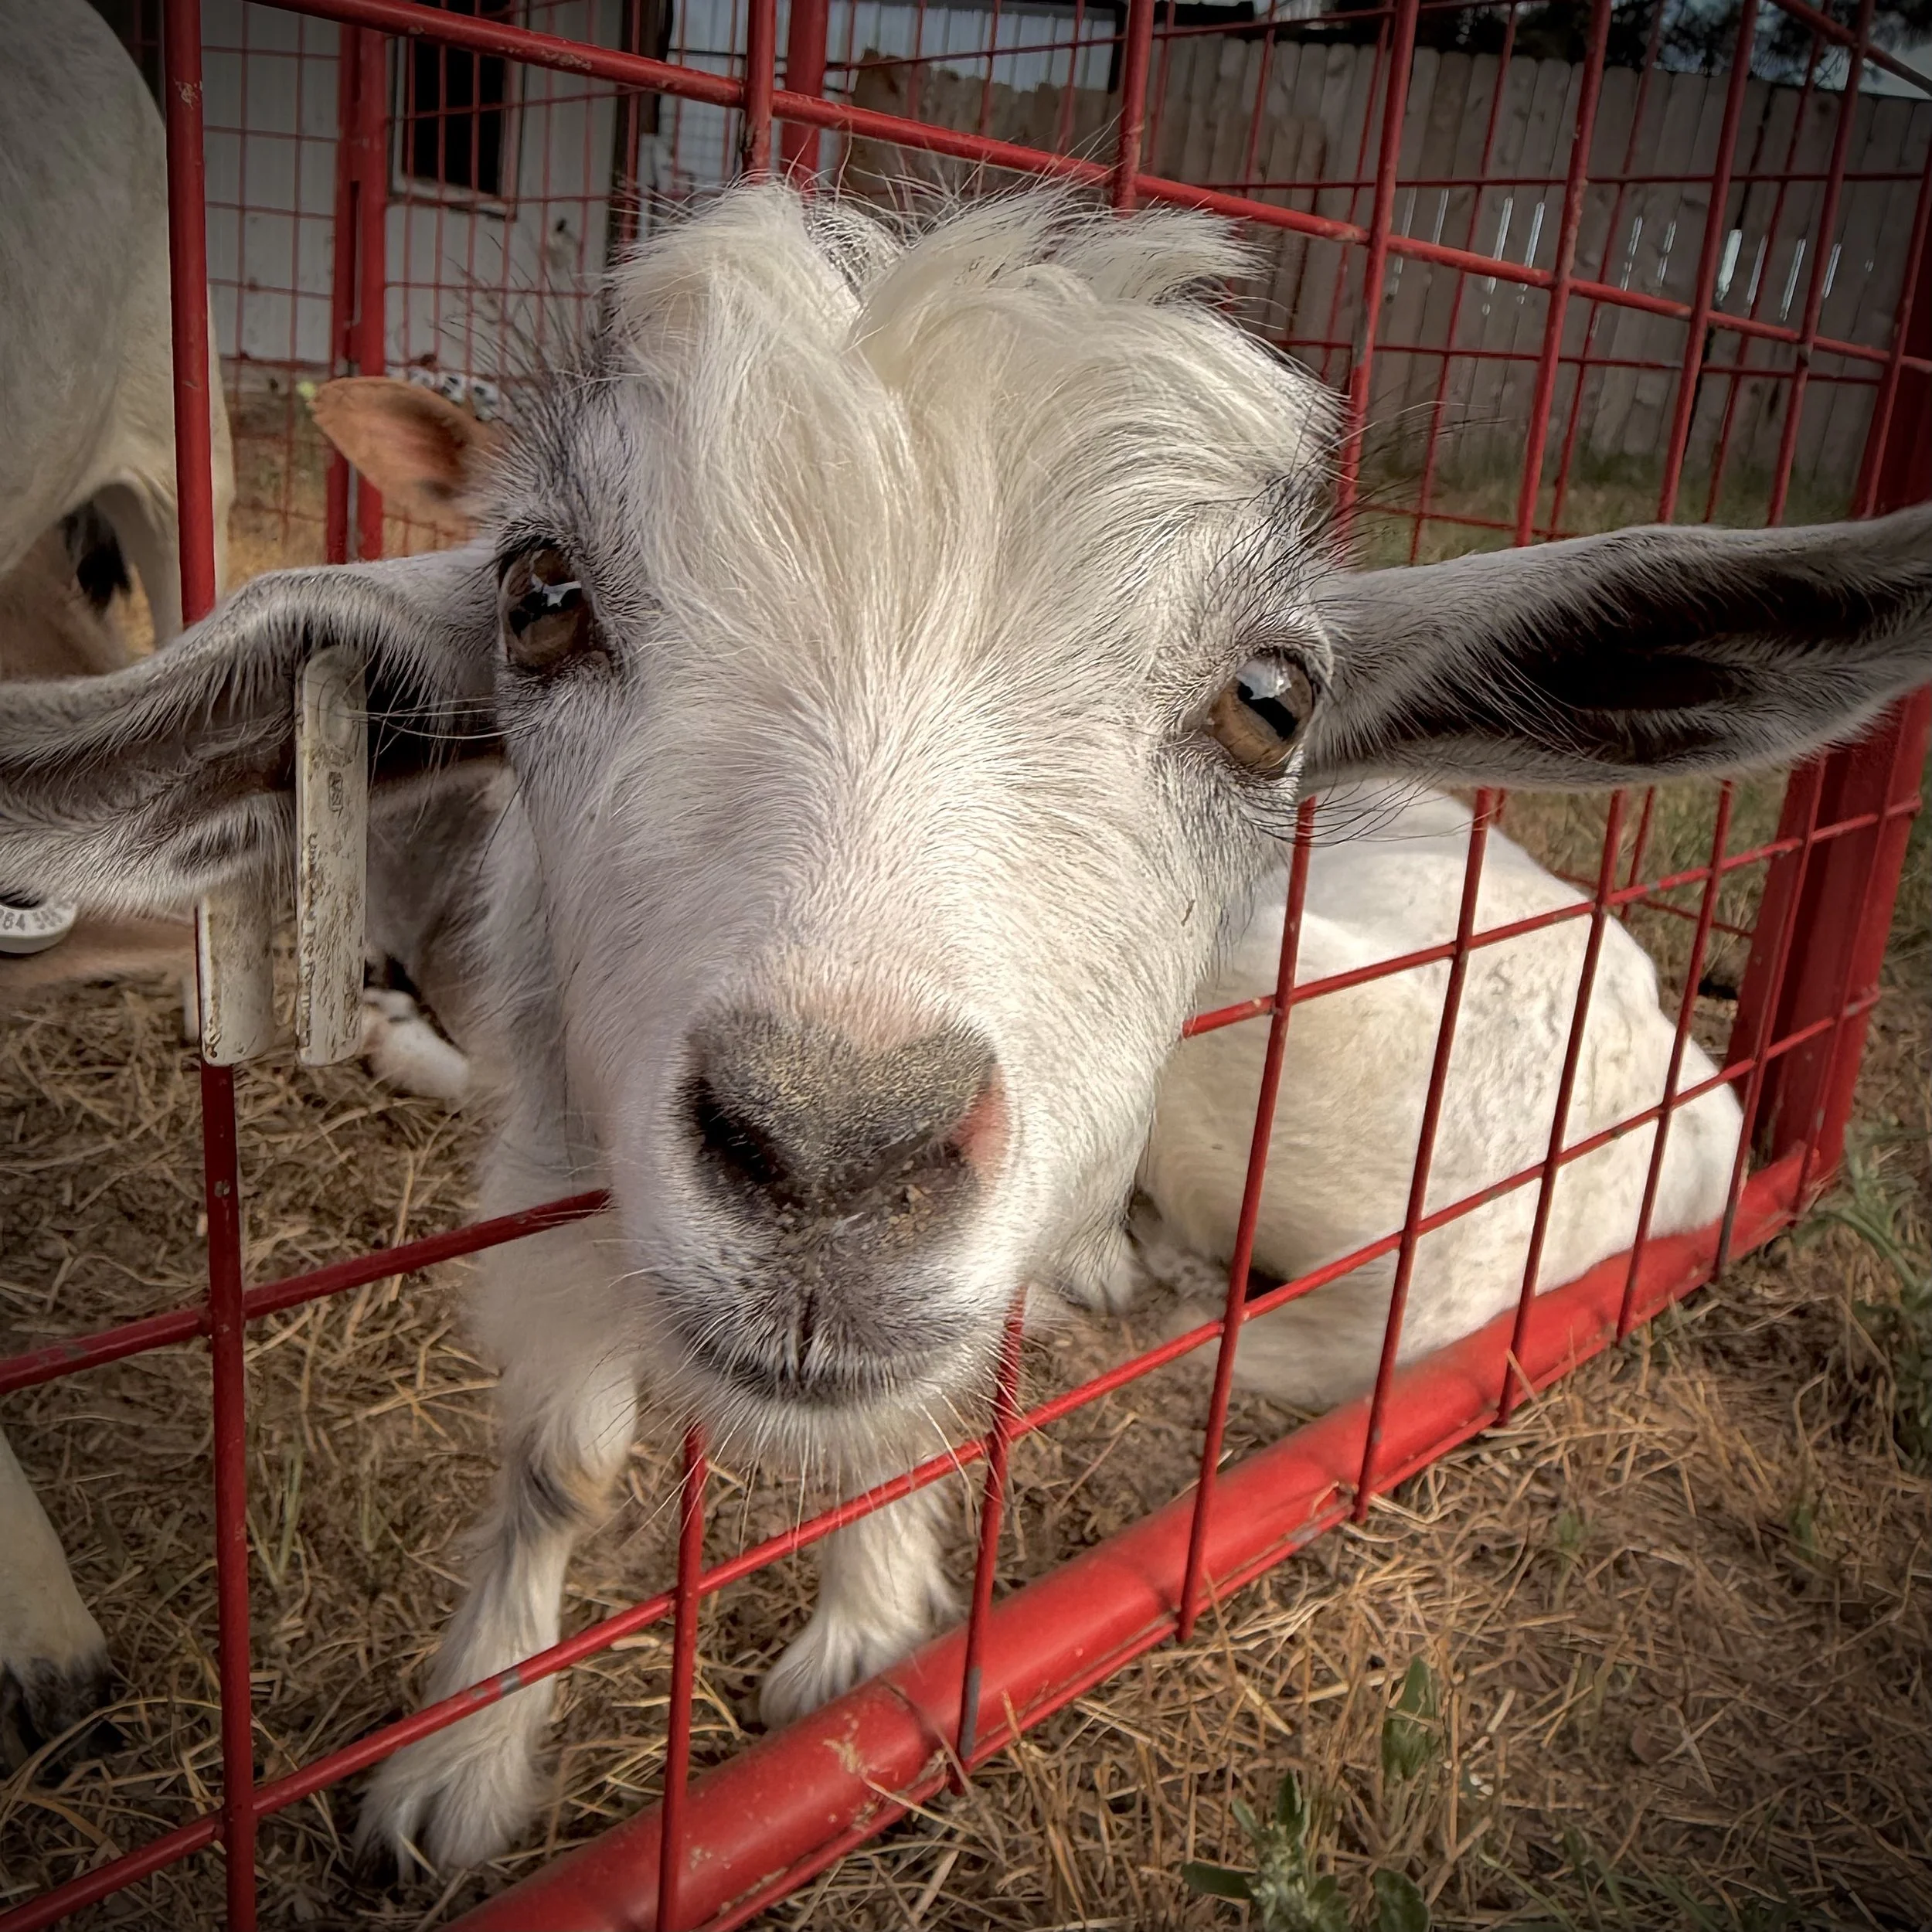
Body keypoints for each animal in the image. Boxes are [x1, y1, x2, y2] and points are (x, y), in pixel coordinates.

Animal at [1, 189, 1927, 1870]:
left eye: (1269, 698)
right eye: (540, 598)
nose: (833, 1154)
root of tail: (1676, 1129)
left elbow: (917, 1408)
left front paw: (862, 1635)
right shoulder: (559, 1145)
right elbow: (561, 1456)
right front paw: (458, 1766)